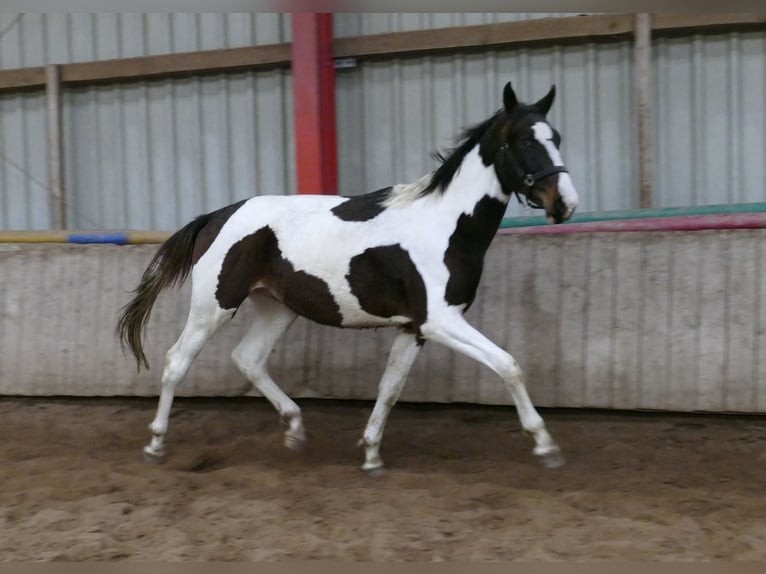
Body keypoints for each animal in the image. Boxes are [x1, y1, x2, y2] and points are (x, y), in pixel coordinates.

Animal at [117, 81, 578, 474]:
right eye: (525, 140)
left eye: (555, 137)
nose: (565, 204)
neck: (446, 225)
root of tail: (217, 216)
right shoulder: (440, 320)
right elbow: (509, 365)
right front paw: (546, 446)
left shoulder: (414, 328)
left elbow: (390, 387)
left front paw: (371, 454)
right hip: (213, 305)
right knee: (176, 361)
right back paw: (155, 445)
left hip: (277, 308)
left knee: (248, 358)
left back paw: (295, 429)